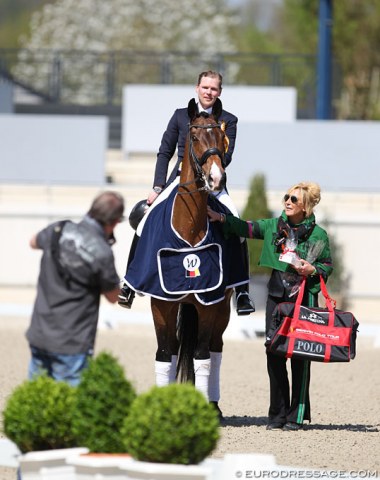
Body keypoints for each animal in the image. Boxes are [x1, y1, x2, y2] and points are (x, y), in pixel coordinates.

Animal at [150, 98, 233, 416]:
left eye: (222, 138)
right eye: (194, 138)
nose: (216, 178)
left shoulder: (209, 303)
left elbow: (202, 357)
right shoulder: (161, 303)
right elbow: (164, 355)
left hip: (223, 309)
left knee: (215, 349)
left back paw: (214, 404)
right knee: (175, 351)